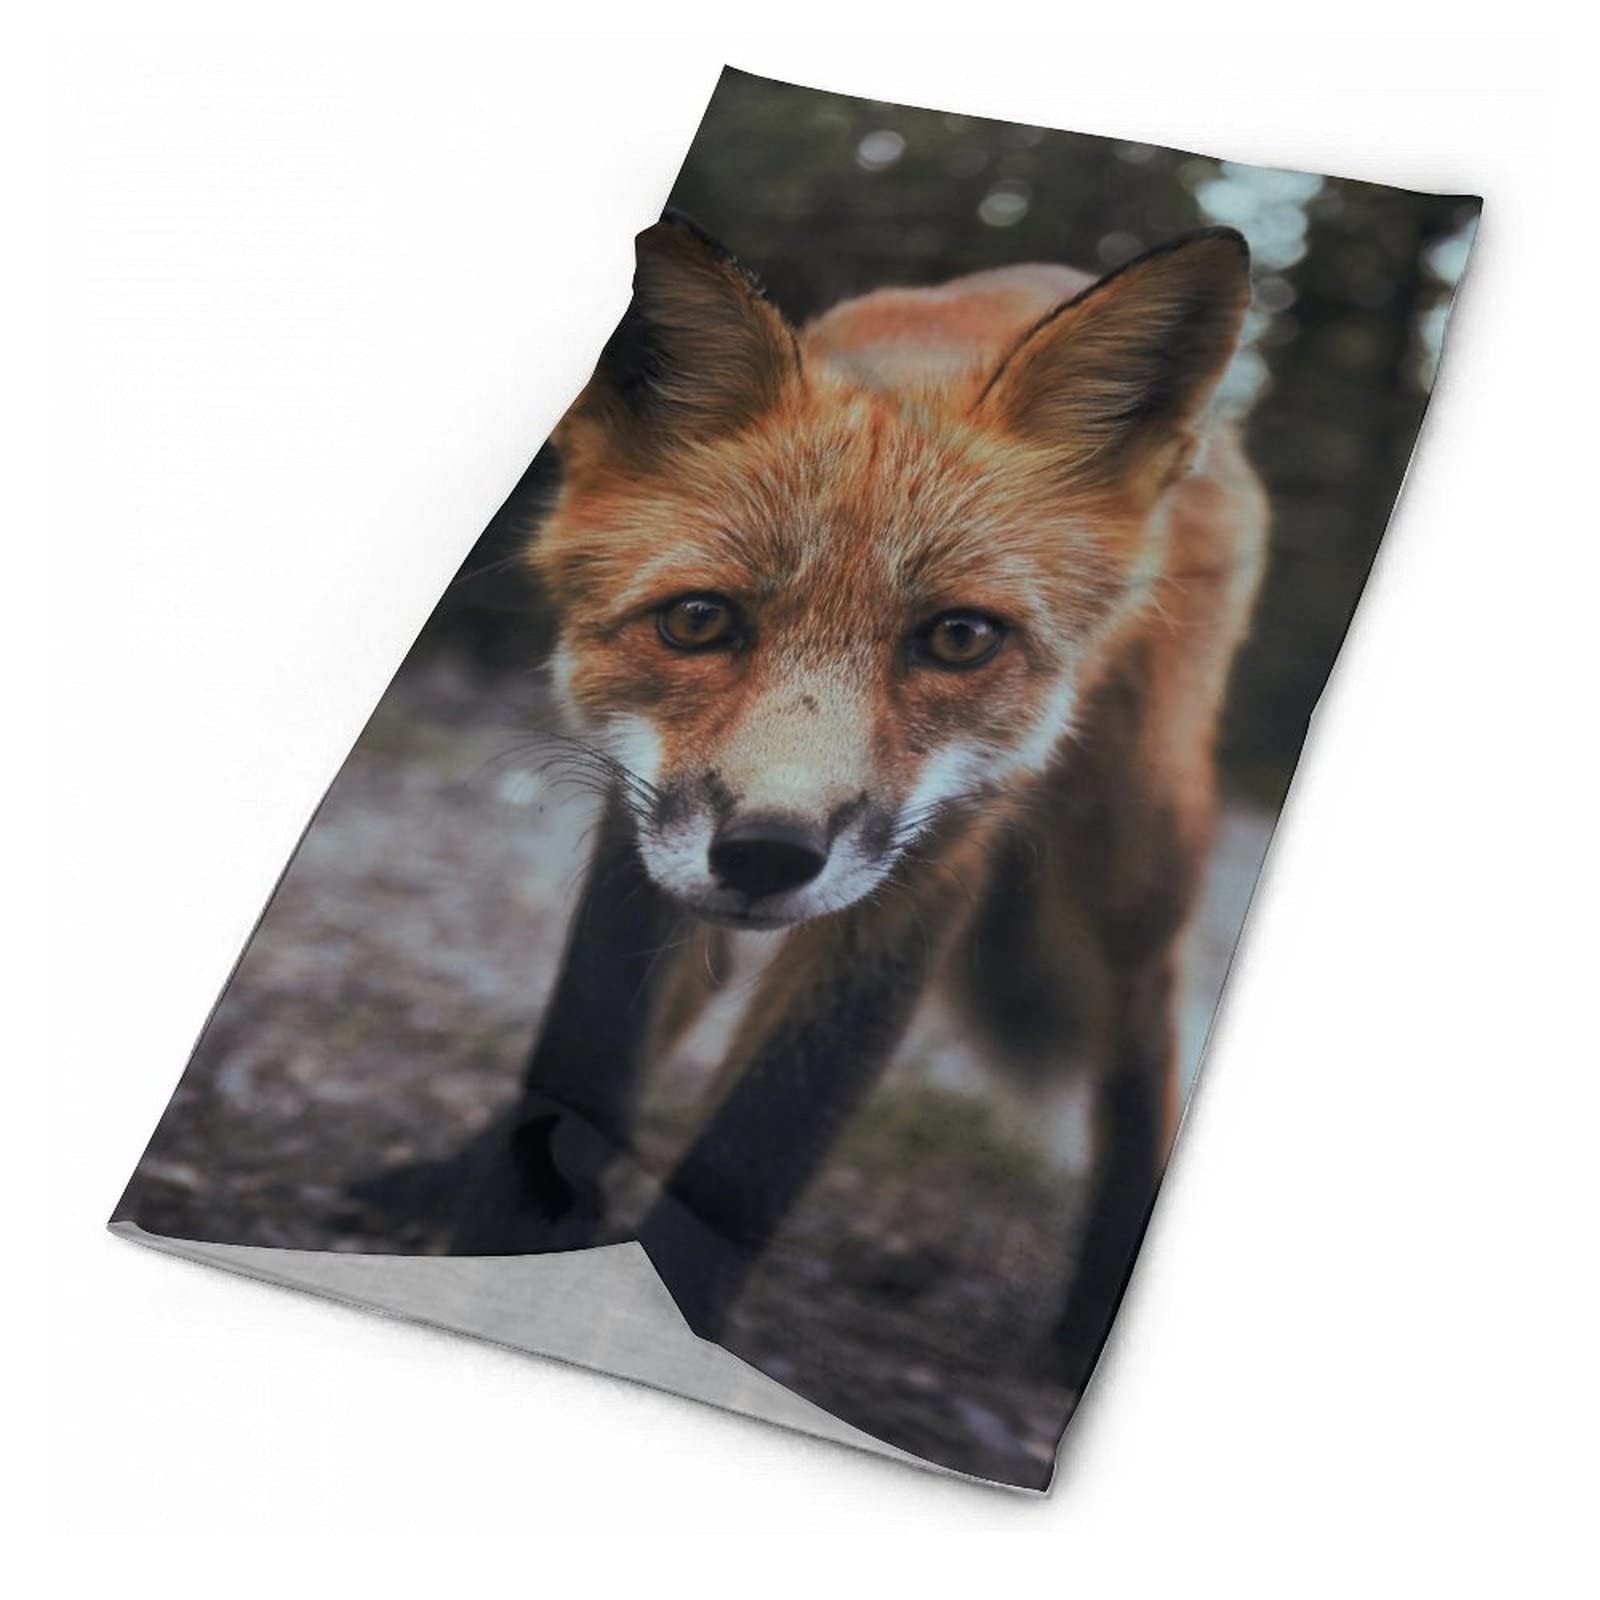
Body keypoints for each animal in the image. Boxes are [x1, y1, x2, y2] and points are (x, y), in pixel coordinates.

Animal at [447, 215, 1268, 1386]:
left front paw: (664, 1318)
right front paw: (505, 1225)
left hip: (1133, 847)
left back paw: (1093, 1309)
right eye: (698, 621)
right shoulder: (638, 807)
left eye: (959, 638)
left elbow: (761, 1140)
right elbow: (594, 1033)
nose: (766, 852)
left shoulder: (932, 862)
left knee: (1145, 1027)